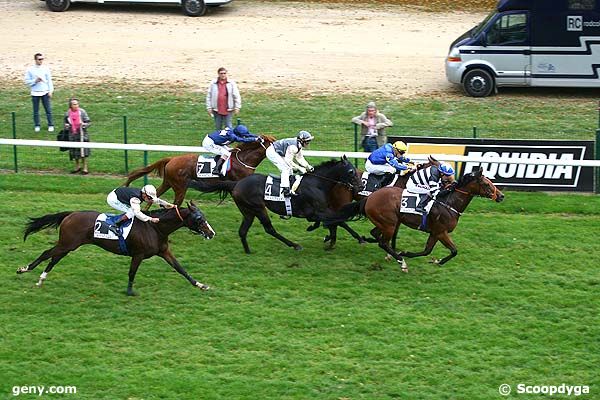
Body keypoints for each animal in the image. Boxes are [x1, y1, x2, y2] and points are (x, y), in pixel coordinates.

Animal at [17, 202, 217, 296]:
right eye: (199, 219)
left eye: (204, 216)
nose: (211, 233)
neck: (156, 228)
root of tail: (70, 214)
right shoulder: (138, 254)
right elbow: (132, 273)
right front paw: (129, 291)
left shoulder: (164, 252)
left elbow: (181, 269)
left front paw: (200, 285)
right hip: (67, 243)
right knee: (47, 254)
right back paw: (24, 269)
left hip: (68, 246)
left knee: (54, 258)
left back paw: (41, 279)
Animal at [126, 137, 278, 206]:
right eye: (274, 143)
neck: (243, 159)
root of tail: (171, 159)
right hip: (180, 187)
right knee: (175, 204)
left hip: (168, 183)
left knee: (155, 196)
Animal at [190, 156, 364, 253]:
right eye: (351, 171)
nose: (361, 186)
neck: (317, 184)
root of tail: (236, 184)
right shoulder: (317, 212)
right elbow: (338, 220)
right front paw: (355, 237)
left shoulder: (322, 210)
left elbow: (337, 221)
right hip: (258, 208)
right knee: (269, 229)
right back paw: (294, 245)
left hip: (248, 211)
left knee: (243, 231)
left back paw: (248, 251)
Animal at [326, 167, 504, 270]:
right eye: (486, 184)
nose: (501, 196)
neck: (449, 203)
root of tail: (370, 198)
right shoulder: (441, 232)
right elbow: (453, 251)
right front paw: (405, 255)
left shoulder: (435, 233)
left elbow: (428, 251)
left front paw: (433, 260)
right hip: (389, 223)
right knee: (382, 241)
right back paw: (400, 261)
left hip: (387, 222)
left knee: (376, 234)